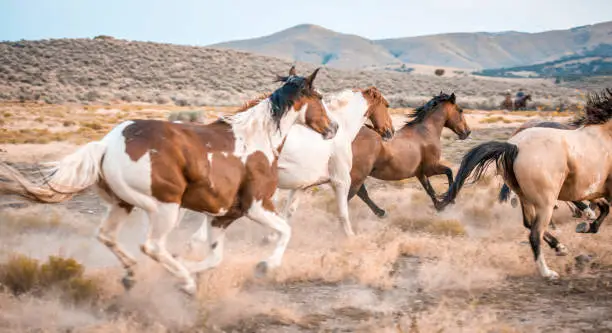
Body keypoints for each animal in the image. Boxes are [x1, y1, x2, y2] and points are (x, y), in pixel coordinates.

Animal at [0, 68, 340, 296]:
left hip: (122, 204)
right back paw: (184, 283)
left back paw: (133, 275)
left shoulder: (222, 216)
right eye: (320, 98)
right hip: (166, 208)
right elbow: (285, 231)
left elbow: (214, 256)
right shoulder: (256, 206)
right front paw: (264, 266)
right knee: (151, 245)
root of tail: (107, 143)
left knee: (107, 236)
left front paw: (188, 268)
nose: (333, 127)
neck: (257, 140)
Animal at [440, 87, 612, 278]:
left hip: (526, 197)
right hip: (545, 202)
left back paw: (560, 246)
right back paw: (547, 271)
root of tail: (514, 147)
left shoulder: (591, 189)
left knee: (529, 224)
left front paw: (587, 225)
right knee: (535, 233)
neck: (605, 134)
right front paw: (587, 221)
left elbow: (604, 207)